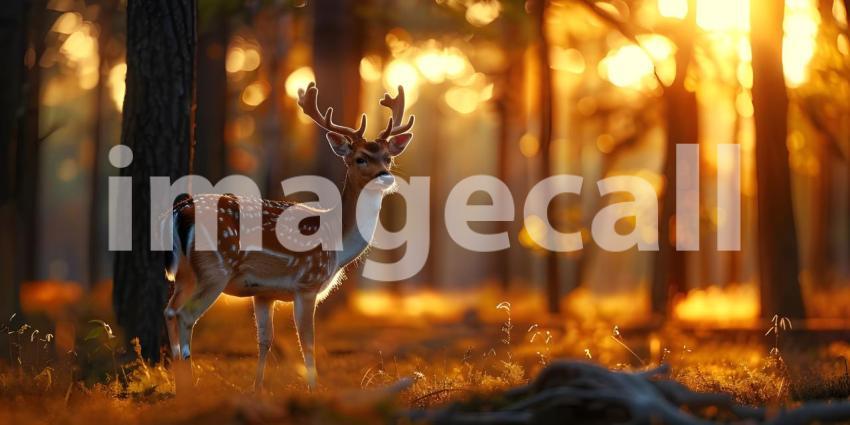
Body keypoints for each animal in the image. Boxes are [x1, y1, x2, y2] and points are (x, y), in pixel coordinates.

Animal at [162, 82, 414, 392]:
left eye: (388, 157)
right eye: (360, 158)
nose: (385, 175)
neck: (337, 243)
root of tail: (180, 211)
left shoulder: (262, 292)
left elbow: (265, 341)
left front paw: (257, 389)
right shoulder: (307, 284)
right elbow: (308, 344)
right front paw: (314, 390)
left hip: (185, 272)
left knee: (169, 311)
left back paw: (179, 386)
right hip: (214, 269)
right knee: (185, 315)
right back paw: (190, 387)